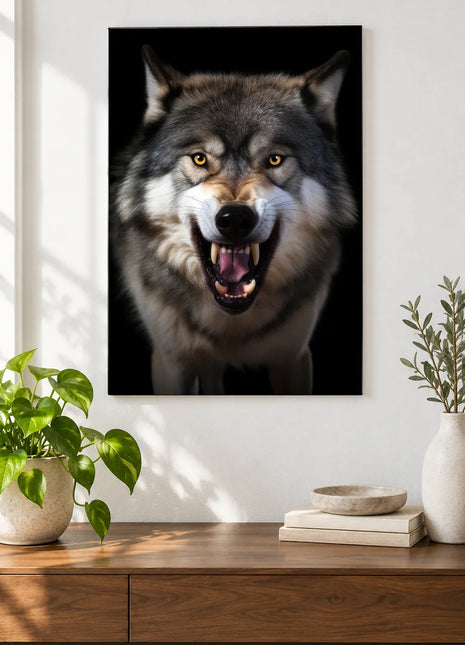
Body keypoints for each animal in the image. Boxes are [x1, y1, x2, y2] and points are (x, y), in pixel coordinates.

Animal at [110, 45, 356, 394]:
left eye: (274, 159)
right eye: (199, 158)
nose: (236, 218)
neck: (231, 321)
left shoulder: (293, 357)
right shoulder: (171, 362)